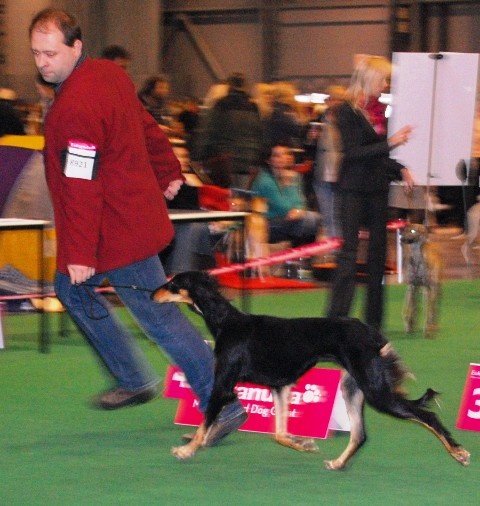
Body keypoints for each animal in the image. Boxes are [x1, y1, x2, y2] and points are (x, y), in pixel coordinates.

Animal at [151, 272, 468, 470]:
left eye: (173, 282)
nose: (152, 293)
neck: (226, 321)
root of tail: (371, 332)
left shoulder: (223, 385)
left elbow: (204, 425)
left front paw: (187, 450)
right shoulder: (280, 387)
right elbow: (280, 434)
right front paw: (303, 444)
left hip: (376, 391)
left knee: (426, 416)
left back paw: (458, 452)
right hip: (353, 388)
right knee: (360, 434)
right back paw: (339, 463)